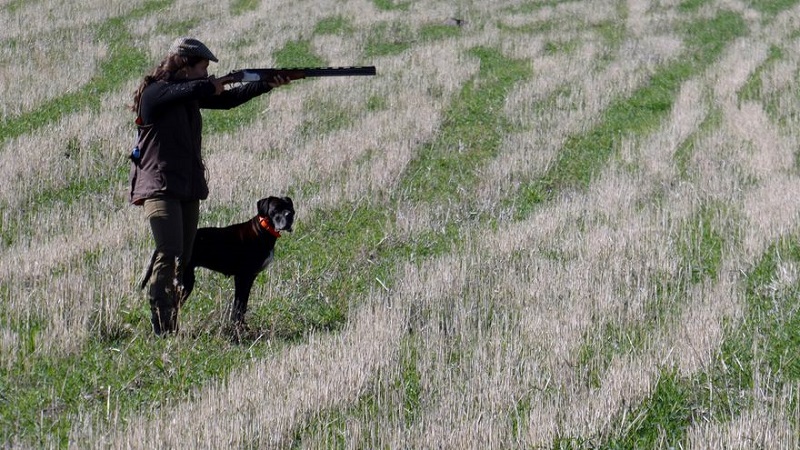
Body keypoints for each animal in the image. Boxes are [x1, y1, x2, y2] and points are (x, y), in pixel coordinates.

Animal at [140, 197, 294, 324]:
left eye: (290, 208)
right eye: (276, 209)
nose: (289, 215)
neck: (263, 229)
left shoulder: (249, 277)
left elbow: (242, 305)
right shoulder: (243, 277)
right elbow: (239, 306)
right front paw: (237, 328)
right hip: (186, 281)